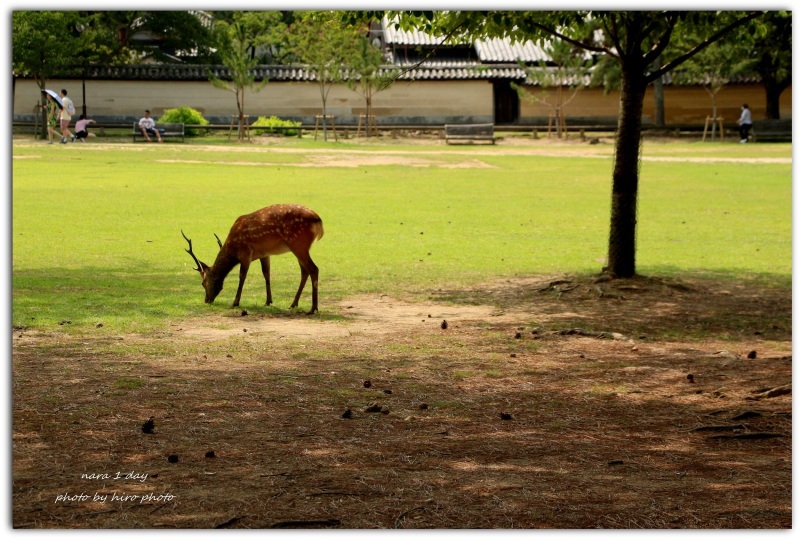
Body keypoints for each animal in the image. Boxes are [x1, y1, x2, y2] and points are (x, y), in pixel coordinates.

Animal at [184, 204, 324, 314]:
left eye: (203, 283)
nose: (207, 300)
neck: (232, 249)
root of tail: (317, 219)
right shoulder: (264, 254)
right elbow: (266, 274)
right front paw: (268, 301)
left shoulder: (246, 253)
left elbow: (242, 277)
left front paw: (235, 302)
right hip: (299, 247)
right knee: (304, 271)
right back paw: (293, 304)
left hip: (298, 243)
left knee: (313, 269)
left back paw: (313, 308)